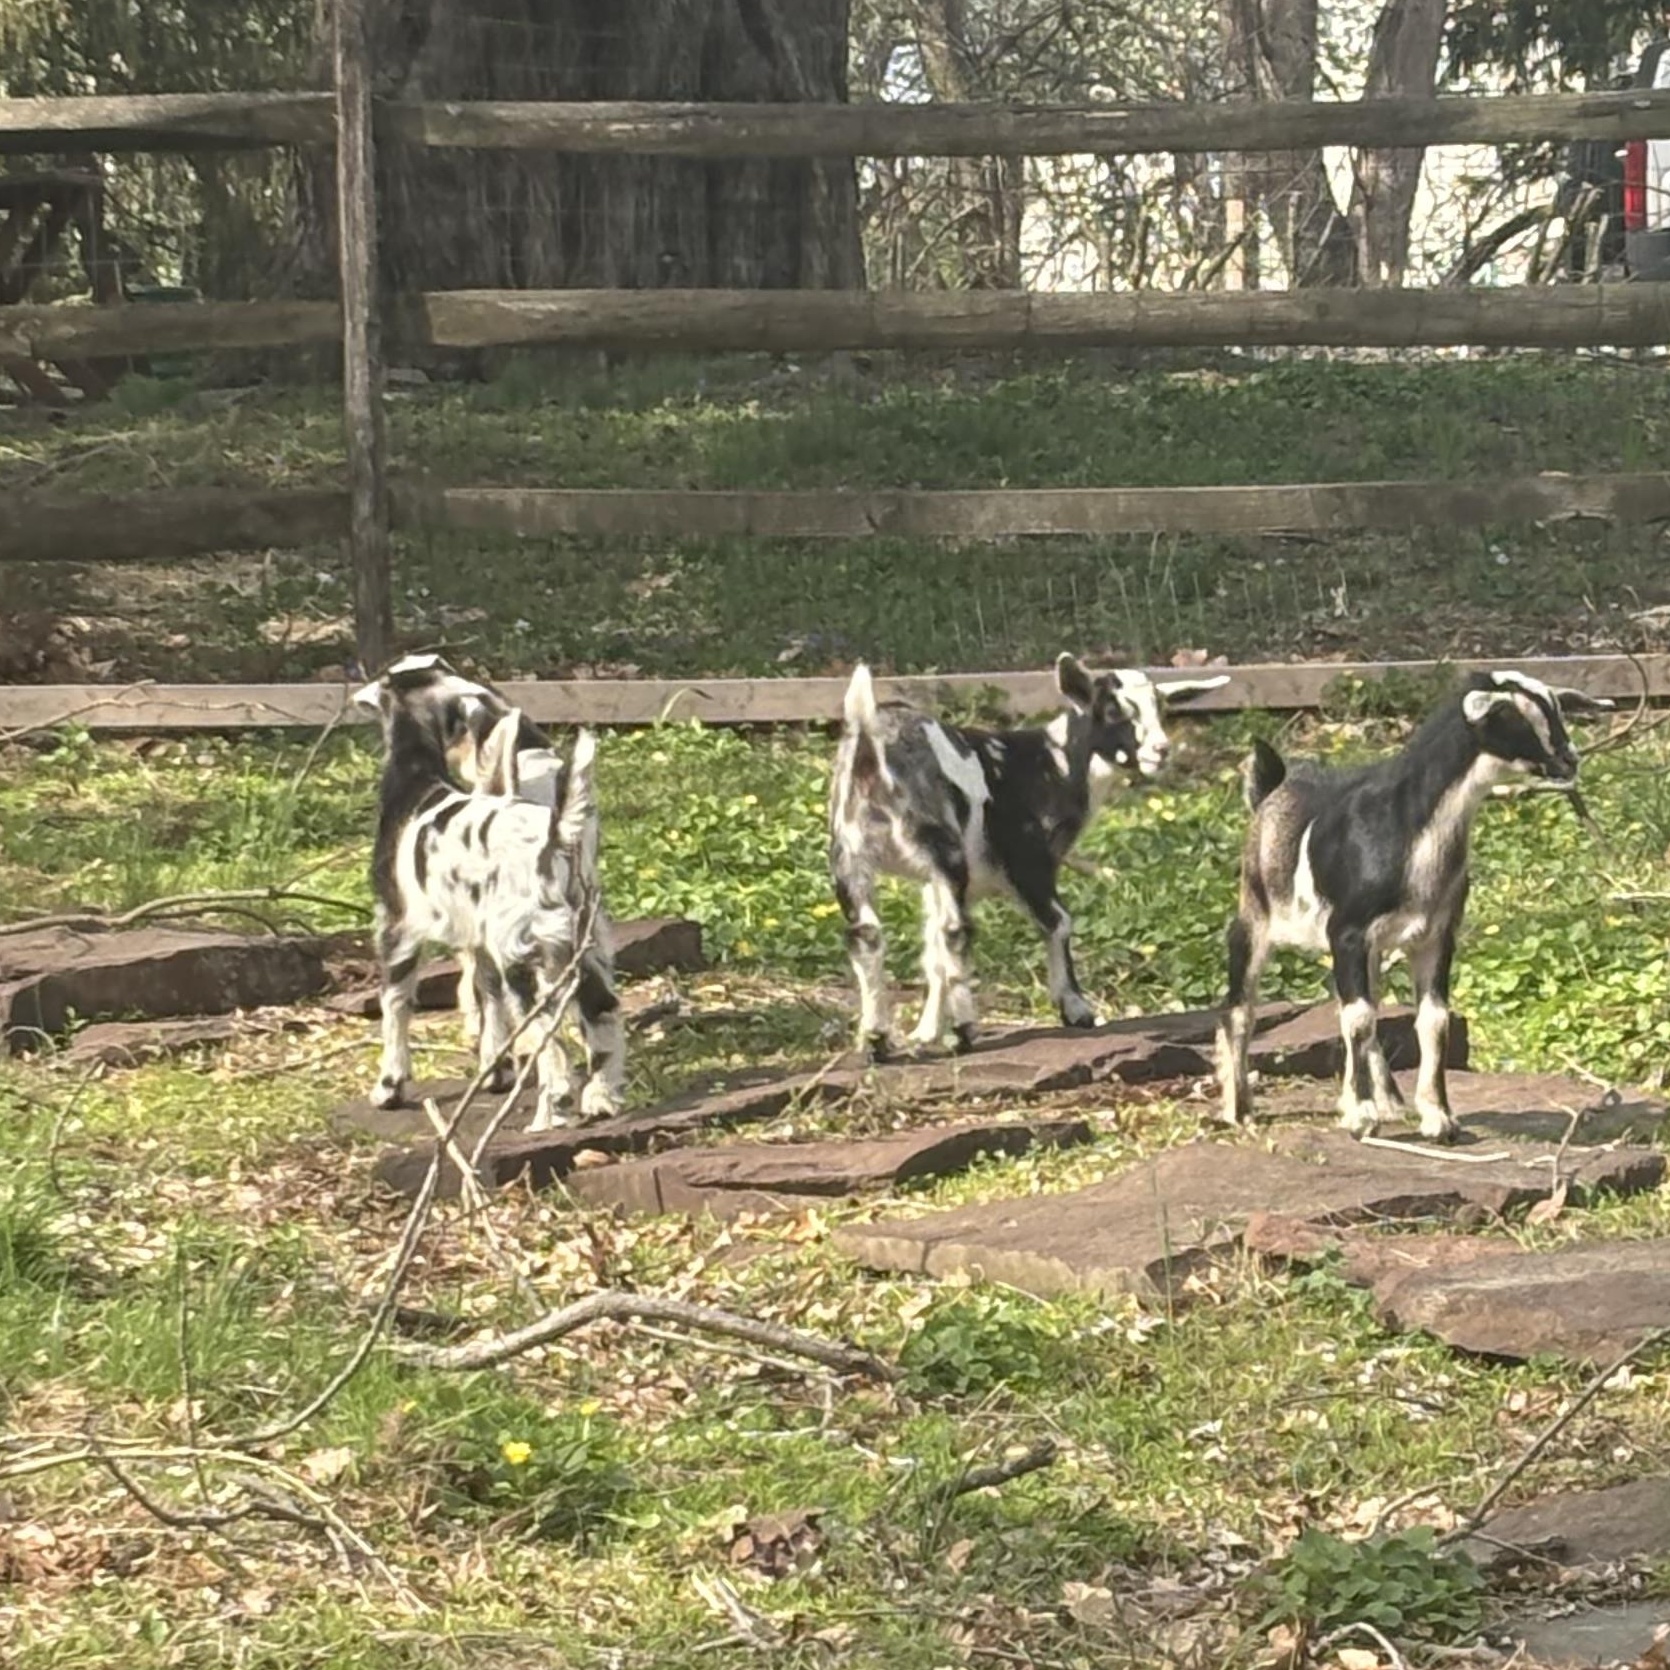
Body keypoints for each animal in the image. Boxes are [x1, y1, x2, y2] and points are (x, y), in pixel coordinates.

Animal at [353, 654, 624, 1131]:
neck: (419, 783)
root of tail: (555, 839)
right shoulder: (477, 941)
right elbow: (486, 998)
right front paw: (494, 1071)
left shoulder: (396, 929)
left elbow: (395, 1007)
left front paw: (389, 1085)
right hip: (584, 949)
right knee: (602, 1019)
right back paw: (599, 1099)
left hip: (524, 959)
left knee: (553, 1051)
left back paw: (549, 1114)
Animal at [829, 655, 1228, 1059]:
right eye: (1113, 710)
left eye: (1162, 708)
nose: (1161, 750)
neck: (1050, 763)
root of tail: (871, 747)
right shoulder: (1029, 859)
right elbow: (1057, 920)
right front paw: (1076, 1009)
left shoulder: (934, 882)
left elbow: (932, 950)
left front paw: (925, 1033)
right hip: (942, 846)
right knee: (956, 930)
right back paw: (964, 1030)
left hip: (852, 853)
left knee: (868, 933)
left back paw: (876, 1039)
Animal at [1214, 669, 1611, 1142]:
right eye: (1513, 717)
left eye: (1556, 707)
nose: (1569, 760)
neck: (1407, 830)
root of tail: (1270, 792)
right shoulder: (1347, 931)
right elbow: (1358, 1018)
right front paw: (1361, 1117)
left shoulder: (1435, 936)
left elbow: (1430, 1020)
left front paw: (1437, 1117)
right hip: (1254, 912)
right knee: (1242, 1007)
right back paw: (1240, 1109)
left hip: (1371, 948)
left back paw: (1387, 1101)